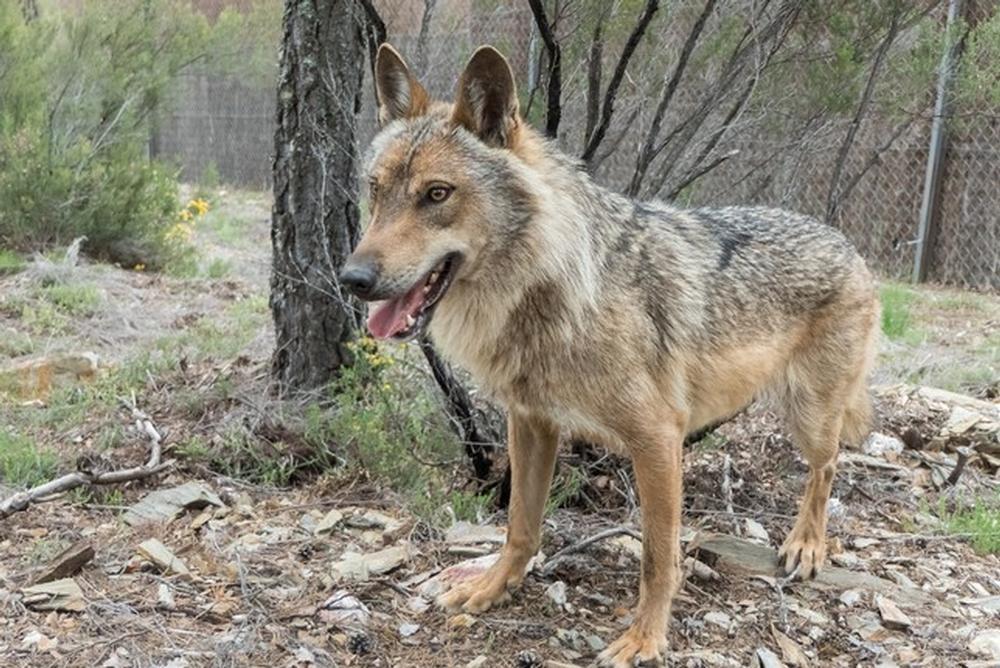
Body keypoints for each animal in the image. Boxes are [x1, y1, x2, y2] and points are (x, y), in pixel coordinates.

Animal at [340, 44, 880, 664]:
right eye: (375, 189)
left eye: (436, 194)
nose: (353, 279)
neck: (555, 291)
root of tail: (847, 242)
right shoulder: (530, 422)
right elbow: (520, 525)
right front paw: (493, 586)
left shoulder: (658, 440)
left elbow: (657, 558)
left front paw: (645, 638)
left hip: (809, 416)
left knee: (827, 466)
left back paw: (806, 546)